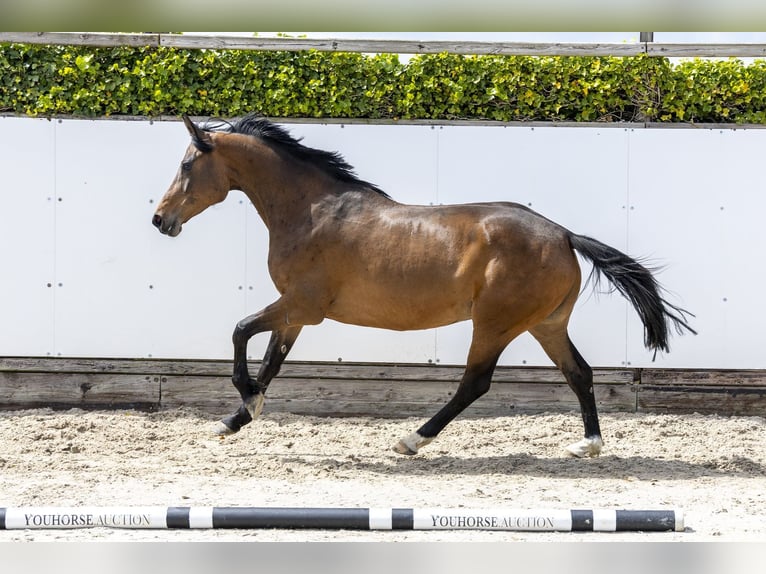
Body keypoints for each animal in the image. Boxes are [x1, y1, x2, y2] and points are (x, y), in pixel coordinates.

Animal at [152, 113, 695, 458]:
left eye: (186, 165)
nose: (160, 220)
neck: (312, 211)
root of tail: (563, 234)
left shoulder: (301, 306)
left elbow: (241, 330)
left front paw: (247, 400)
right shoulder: (296, 313)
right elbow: (271, 359)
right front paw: (237, 418)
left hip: (495, 324)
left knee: (475, 382)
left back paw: (411, 440)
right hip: (546, 325)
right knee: (578, 373)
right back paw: (588, 444)